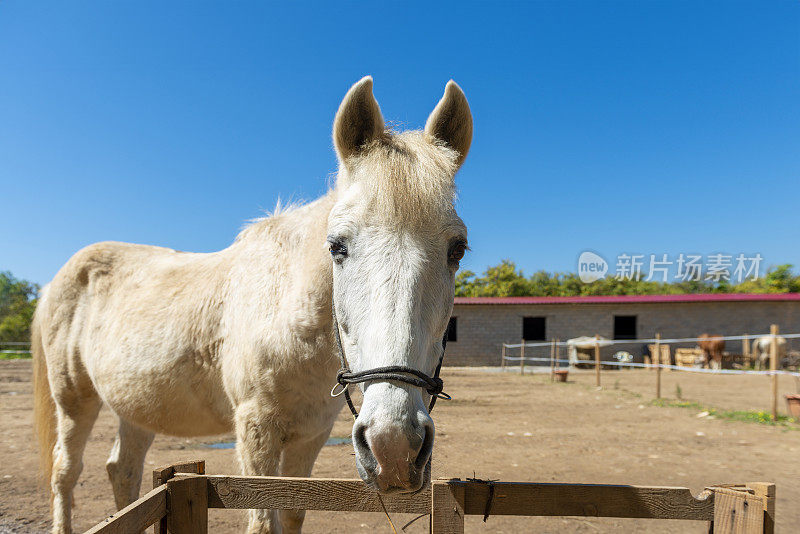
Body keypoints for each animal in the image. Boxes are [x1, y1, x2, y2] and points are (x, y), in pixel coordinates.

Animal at [34, 76, 472, 534]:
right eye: (337, 246)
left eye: (457, 250)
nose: (393, 447)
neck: (287, 315)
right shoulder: (255, 430)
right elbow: (264, 522)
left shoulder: (311, 436)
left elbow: (293, 513)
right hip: (74, 400)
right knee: (65, 472)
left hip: (136, 408)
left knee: (123, 470)